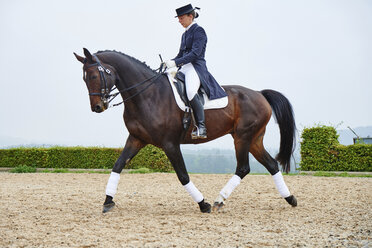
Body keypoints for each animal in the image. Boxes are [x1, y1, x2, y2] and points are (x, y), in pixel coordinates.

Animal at [74, 48, 298, 213]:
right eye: (84, 78)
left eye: (93, 75)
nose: (97, 107)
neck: (147, 95)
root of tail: (260, 94)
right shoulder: (136, 138)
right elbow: (118, 165)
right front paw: (108, 201)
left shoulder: (170, 144)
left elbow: (182, 175)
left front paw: (203, 204)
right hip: (253, 139)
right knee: (271, 164)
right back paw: (290, 199)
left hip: (243, 138)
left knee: (243, 168)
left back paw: (218, 200)